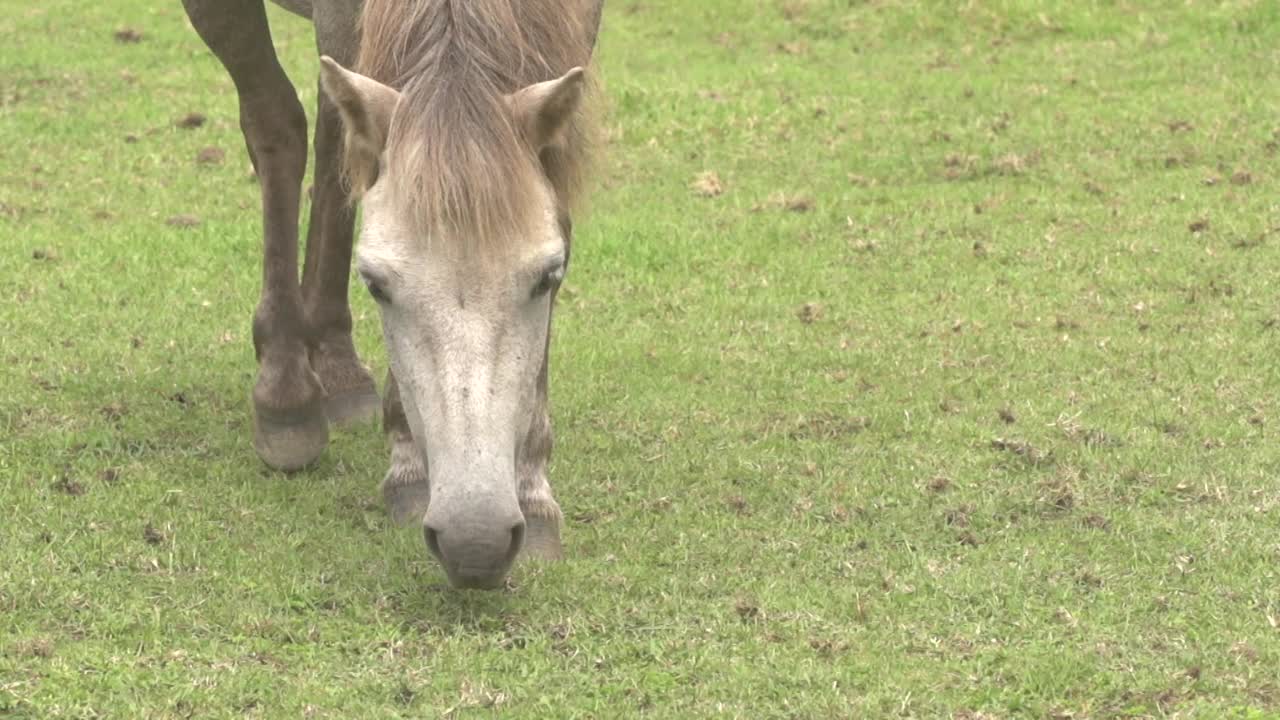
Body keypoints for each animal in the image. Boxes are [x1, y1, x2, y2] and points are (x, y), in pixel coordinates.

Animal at [177, 0, 606, 586]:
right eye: (376, 285)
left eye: (549, 275)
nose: (477, 542)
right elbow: (280, 128)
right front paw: (402, 462)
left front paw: (534, 492)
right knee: (286, 127)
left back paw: (336, 366)